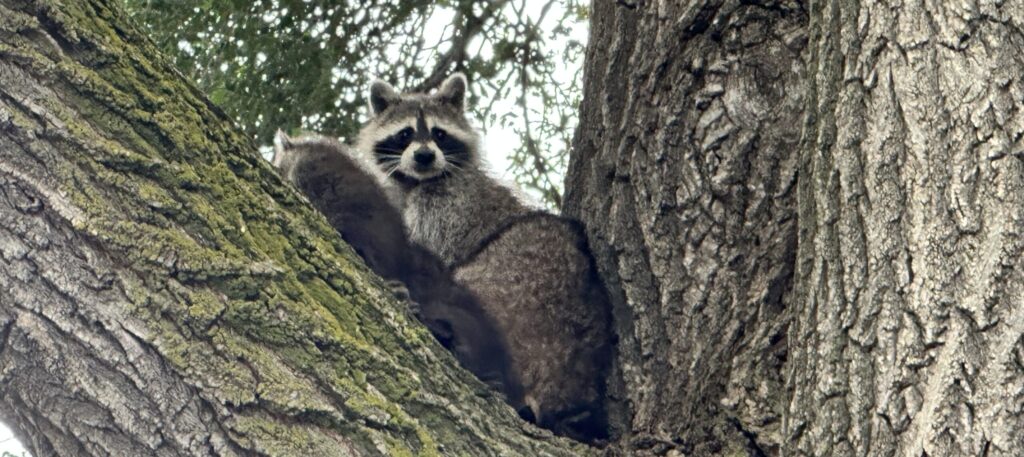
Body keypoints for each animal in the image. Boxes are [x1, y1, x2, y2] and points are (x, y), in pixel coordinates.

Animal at [356, 74, 610, 442]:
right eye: (405, 134)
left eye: (439, 134)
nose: (424, 156)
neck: (420, 180)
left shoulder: (447, 206)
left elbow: (430, 257)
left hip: (522, 279)